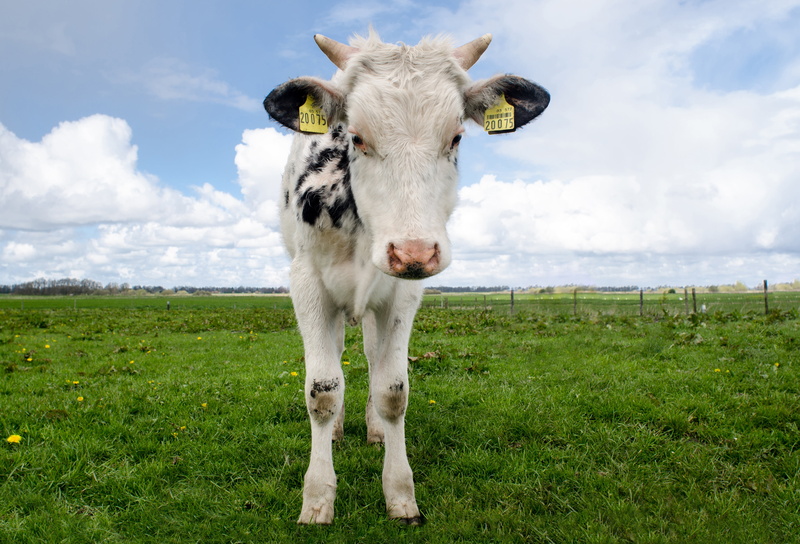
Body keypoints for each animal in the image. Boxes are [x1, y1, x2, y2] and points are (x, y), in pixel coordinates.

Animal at [263, 30, 549, 525]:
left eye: (456, 137)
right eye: (356, 137)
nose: (413, 251)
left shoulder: (404, 291)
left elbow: (393, 389)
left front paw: (399, 492)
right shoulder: (307, 283)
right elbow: (322, 391)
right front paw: (317, 497)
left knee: (373, 358)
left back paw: (375, 429)